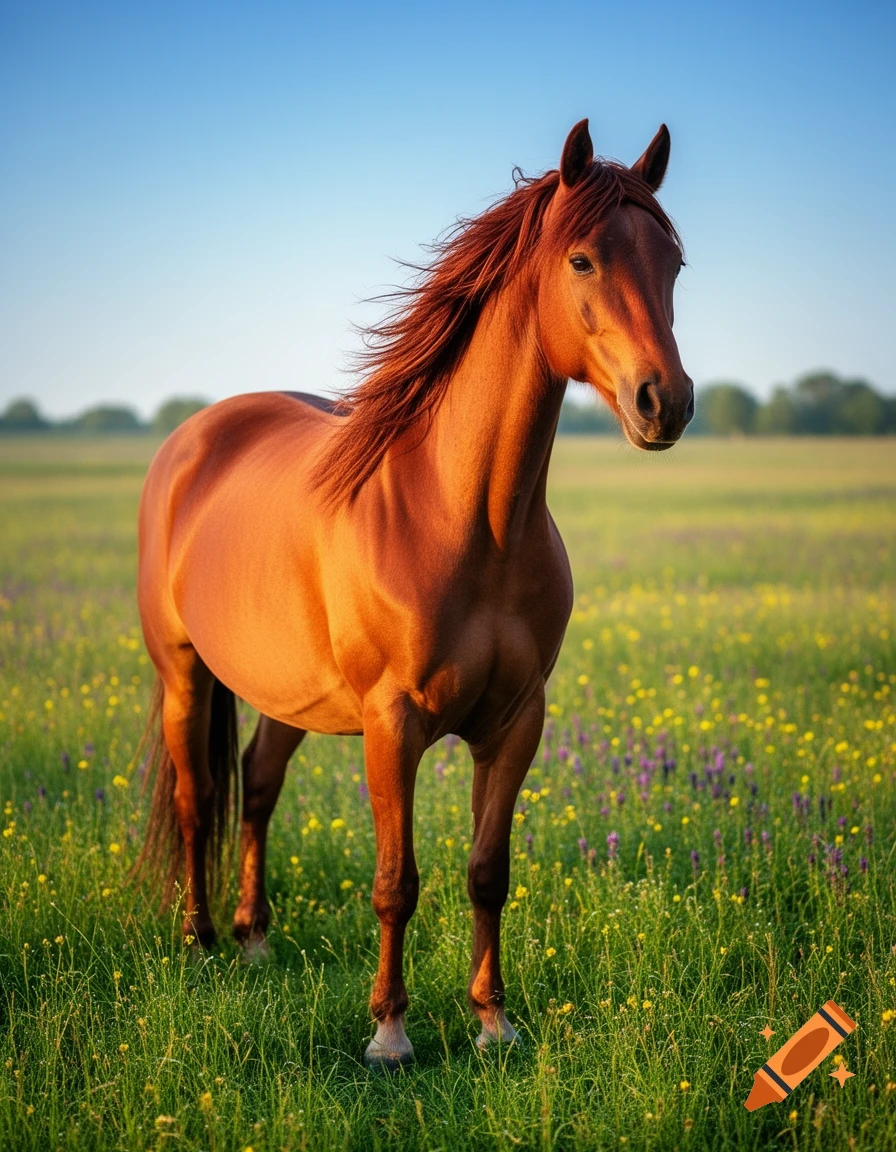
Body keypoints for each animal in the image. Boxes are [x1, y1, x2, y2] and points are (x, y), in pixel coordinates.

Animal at [135, 118, 693, 1069]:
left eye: (675, 263)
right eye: (582, 259)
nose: (667, 402)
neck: (466, 518)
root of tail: (194, 439)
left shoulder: (516, 722)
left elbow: (486, 872)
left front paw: (493, 1021)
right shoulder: (392, 724)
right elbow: (397, 881)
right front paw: (390, 1032)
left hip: (286, 690)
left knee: (256, 784)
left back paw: (253, 937)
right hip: (183, 672)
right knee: (197, 796)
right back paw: (199, 940)